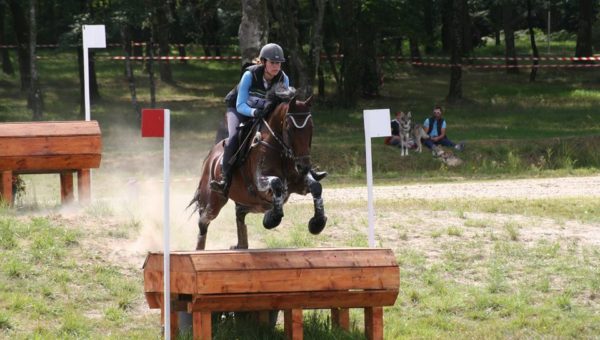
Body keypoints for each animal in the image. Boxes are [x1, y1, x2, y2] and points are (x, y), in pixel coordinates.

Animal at [189, 85, 326, 250]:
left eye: (311, 127)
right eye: (289, 128)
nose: (303, 166)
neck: (280, 149)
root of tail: (210, 157)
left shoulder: (298, 183)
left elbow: (316, 186)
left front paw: (317, 224)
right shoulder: (260, 182)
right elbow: (276, 183)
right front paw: (271, 219)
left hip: (249, 202)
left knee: (239, 213)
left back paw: (241, 243)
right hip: (213, 201)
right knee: (203, 221)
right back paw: (199, 249)